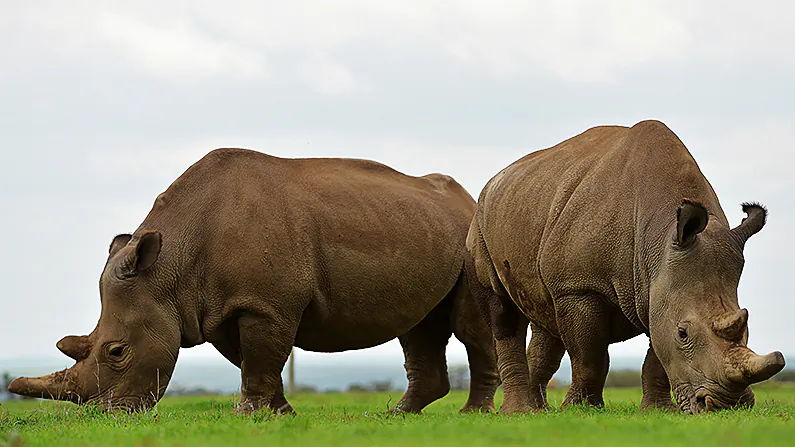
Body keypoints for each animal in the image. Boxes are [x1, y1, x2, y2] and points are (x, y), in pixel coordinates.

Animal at [9, 148, 499, 413]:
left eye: (116, 351)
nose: (109, 415)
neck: (169, 269)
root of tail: (467, 197)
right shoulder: (219, 308)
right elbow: (255, 361)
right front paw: (277, 413)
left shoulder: (266, 303)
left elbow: (263, 357)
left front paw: (255, 416)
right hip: (421, 226)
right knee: (417, 328)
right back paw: (395, 416)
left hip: (473, 237)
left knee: (469, 327)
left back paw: (472, 414)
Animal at [466, 120, 785, 414]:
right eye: (683, 333)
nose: (727, 406)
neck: (659, 238)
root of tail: (493, 182)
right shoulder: (579, 287)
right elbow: (590, 357)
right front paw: (580, 410)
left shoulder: (657, 288)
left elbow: (656, 356)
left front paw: (657, 410)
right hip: (480, 224)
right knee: (503, 310)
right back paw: (518, 412)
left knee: (545, 318)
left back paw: (538, 411)